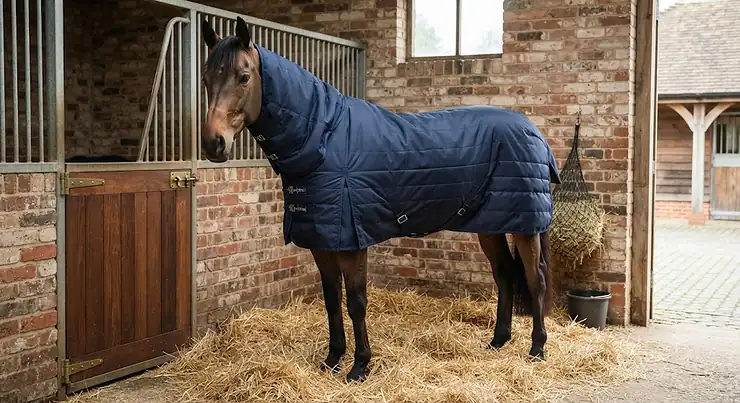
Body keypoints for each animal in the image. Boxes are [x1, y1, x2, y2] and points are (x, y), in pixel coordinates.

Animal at [200, 17, 562, 383]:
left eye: (244, 77)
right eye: (205, 77)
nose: (214, 144)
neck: (324, 138)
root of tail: (533, 132)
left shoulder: (352, 241)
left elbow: (356, 302)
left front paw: (360, 366)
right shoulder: (321, 240)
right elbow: (331, 299)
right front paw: (332, 359)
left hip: (525, 226)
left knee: (535, 279)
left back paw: (537, 349)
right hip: (491, 224)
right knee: (504, 274)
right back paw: (498, 341)